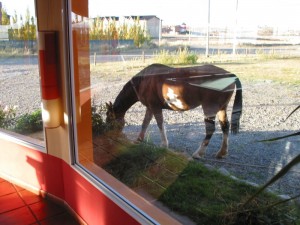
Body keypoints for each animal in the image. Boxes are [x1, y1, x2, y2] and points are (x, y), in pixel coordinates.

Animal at [106, 63, 243, 158]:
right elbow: (145, 123)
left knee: (210, 129)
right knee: (225, 127)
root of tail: (230, 75)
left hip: (209, 108)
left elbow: (160, 124)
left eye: (109, 118)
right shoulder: (150, 107)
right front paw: (139, 140)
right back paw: (222, 152)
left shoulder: (155, 107)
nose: (111, 136)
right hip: (222, 108)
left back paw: (198, 153)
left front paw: (164, 145)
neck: (144, 80)